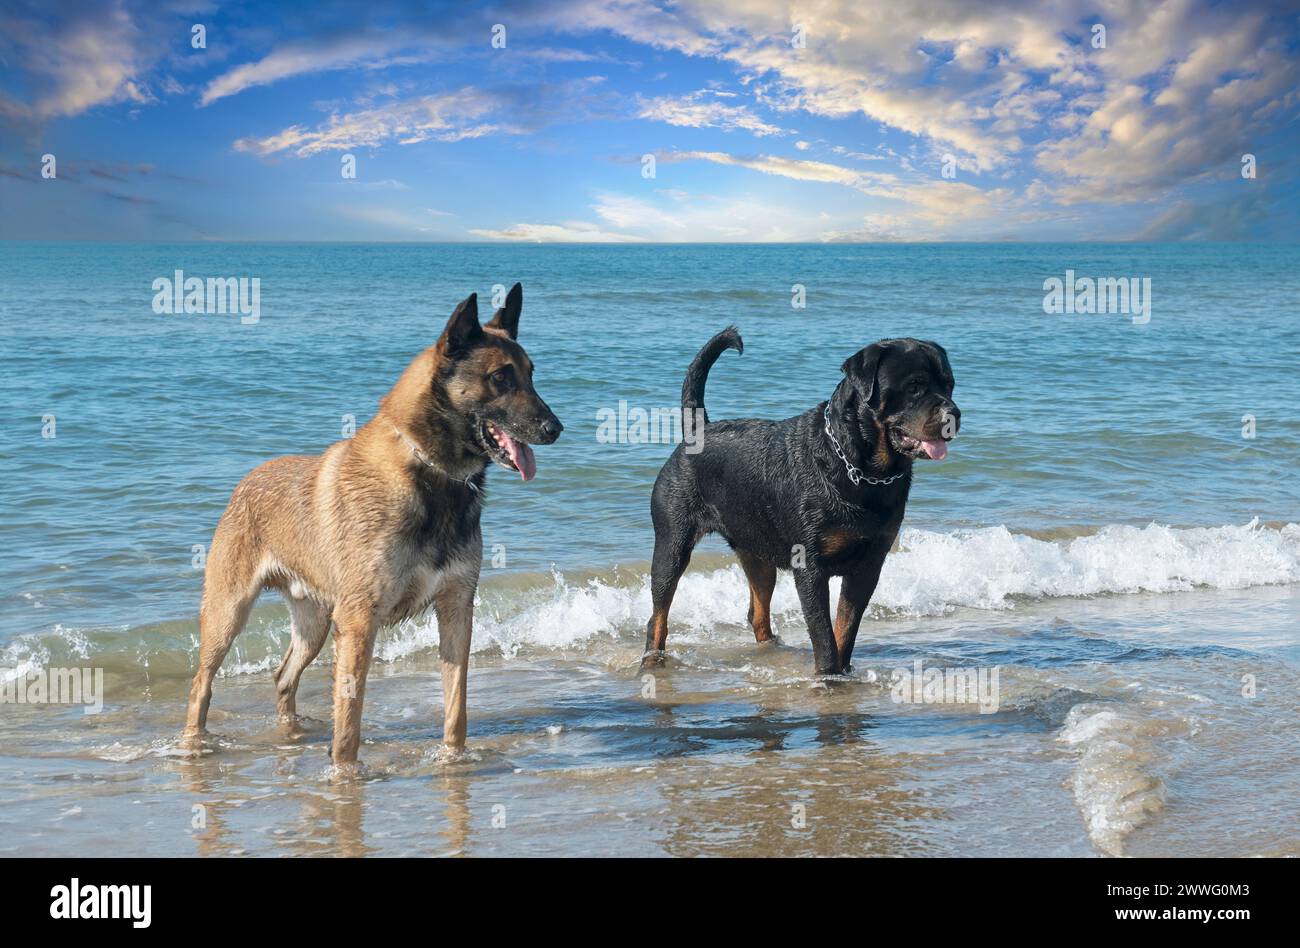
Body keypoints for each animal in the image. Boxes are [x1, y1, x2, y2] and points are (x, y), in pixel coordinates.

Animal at [182, 284, 559, 764]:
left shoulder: (455, 609)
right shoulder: (359, 622)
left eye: (530, 375)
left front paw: (453, 760)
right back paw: (193, 744)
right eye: (501, 378)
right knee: (201, 685)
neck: (430, 472)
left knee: (284, 677)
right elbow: (349, 722)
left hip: (315, 625)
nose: (556, 428)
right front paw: (344, 773)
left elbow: (456, 708)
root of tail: (246, 481)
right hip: (227, 614)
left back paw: (291, 733)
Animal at [644, 329, 961, 676]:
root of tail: (697, 430)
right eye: (915, 386)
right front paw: (829, 674)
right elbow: (823, 634)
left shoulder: (869, 565)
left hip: (757, 551)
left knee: (758, 612)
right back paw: (651, 660)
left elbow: (846, 628)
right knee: (658, 613)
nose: (953, 413)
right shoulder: (810, 566)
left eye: (949, 385)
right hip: (672, 543)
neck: (863, 471)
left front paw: (843, 672)